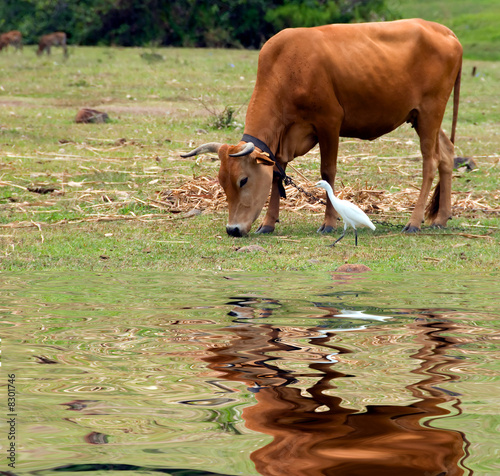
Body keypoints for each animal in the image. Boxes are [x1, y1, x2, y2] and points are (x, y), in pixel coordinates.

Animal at [182, 20, 462, 236]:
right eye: (222, 182)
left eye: (243, 180)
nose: (233, 229)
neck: (287, 66)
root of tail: (446, 32)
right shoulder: (283, 141)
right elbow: (277, 175)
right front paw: (268, 224)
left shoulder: (329, 123)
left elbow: (328, 172)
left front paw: (329, 222)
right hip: (419, 117)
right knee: (447, 154)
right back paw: (440, 219)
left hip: (430, 112)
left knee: (430, 161)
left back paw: (414, 222)